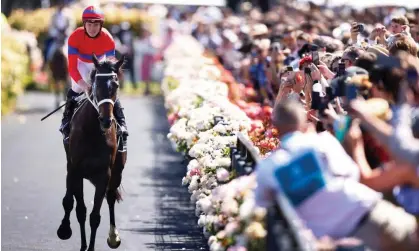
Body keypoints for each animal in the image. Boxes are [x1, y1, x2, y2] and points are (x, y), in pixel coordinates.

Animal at [56, 54, 127, 250]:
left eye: (115, 85)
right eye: (96, 85)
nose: (106, 120)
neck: (94, 131)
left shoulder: (104, 174)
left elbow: (95, 216)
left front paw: (91, 246)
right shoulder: (74, 169)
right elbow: (75, 206)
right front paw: (65, 230)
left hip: (117, 172)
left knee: (110, 197)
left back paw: (113, 236)